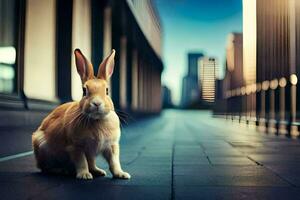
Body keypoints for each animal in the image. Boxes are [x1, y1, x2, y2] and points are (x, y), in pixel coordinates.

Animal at [31, 49, 131, 180]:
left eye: (107, 91)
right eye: (84, 91)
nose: (97, 103)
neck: (97, 120)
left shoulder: (111, 146)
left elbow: (114, 162)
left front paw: (122, 174)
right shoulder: (76, 147)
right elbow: (82, 162)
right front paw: (84, 175)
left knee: (92, 164)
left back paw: (98, 172)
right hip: (43, 148)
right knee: (46, 168)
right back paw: (62, 170)